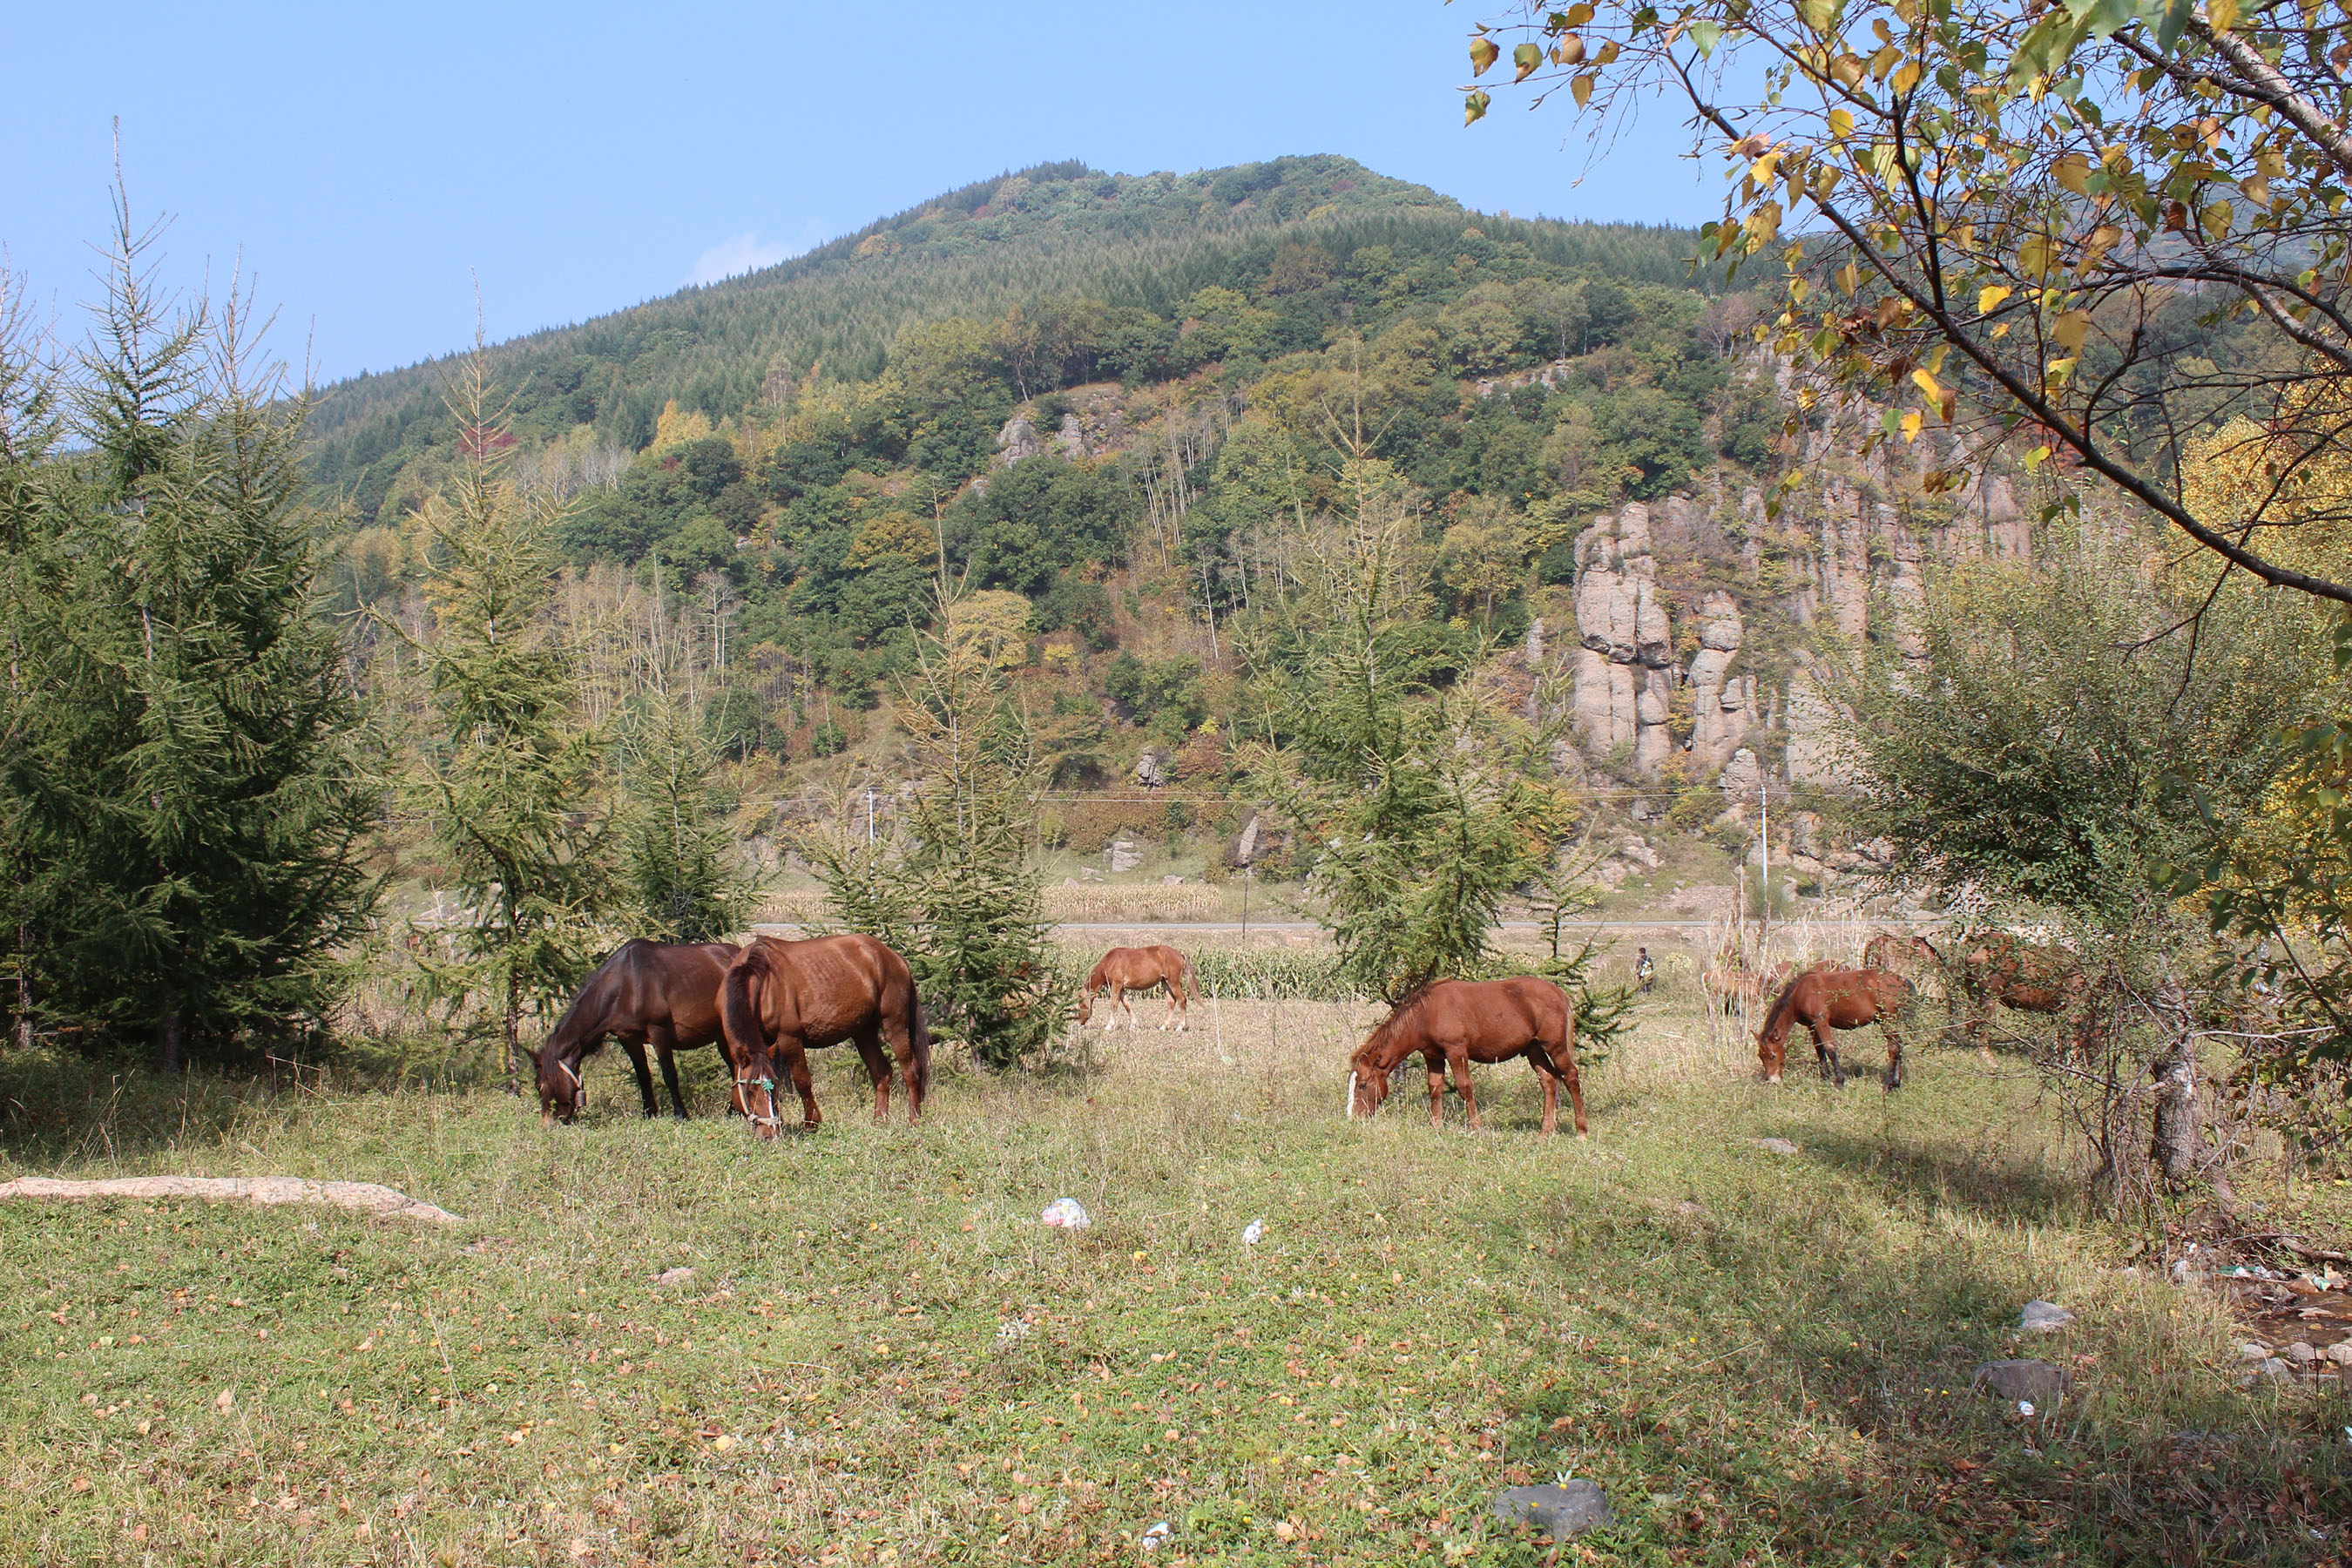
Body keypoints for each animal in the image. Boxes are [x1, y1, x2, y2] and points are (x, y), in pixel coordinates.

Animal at [531, 940, 733, 1123]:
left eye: (539, 1086)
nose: (549, 1123)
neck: (626, 983)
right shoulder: (629, 1039)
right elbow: (642, 1076)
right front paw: (649, 1113)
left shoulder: (659, 1032)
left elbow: (669, 1075)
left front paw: (680, 1115)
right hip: (722, 1035)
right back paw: (733, 1111)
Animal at [720, 930, 931, 1142]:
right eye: (748, 1091)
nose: (769, 1135)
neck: (762, 982)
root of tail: (893, 956)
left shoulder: (790, 1040)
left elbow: (803, 1082)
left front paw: (811, 1123)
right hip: (864, 1032)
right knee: (882, 1072)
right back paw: (879, 1121)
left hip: (894, 1025)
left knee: (910, 1071)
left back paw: (914, 1119)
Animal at [1077, 944, 1204, 1030]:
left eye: (1080, 1008)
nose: (1077, 1025)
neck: (1109, 962)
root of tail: (1179, 953)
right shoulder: (1121, 987)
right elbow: (1127, 1005)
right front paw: (1133, 1024)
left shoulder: (1116, 985)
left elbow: (1114, 1004)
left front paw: (1109, 1025)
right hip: (1165, 983)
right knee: (1172, 1001)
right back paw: (1164, 1026)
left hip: (1173, 982)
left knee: (1182, 1000)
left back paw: (1180, 1026)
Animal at [1355, 973, 1590, 1132]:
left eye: (1362, 1085)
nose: (1356, 1116)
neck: (1425, 1014)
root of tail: (1559, 993)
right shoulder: (1433, 1056)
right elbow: (1435, 1088)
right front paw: (1436, 1125)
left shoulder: (1456, 1051)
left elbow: (1465, 1087)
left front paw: (1476, 1126)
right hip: (1534, 1049)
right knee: (1548, 1080)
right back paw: (1546, 1130)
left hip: (1555, 1046)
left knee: (1570, 1077)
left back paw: (1581, 1130)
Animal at [1768, 968, 1909, 1091]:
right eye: (1763, 1055)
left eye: (1773, 1056)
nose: (1773, 1081)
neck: (1802, 992)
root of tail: (1902, 981)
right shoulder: (1811, 1025)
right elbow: (1819, 1048)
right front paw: (1825, 1076)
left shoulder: (1821, 1022)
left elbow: (1830, 1048)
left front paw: (1839, 1081)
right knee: (1899, 1045)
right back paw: (1896, 1083)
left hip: (1887, 1021)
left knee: (1894, 1047)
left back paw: (1889, 1084)